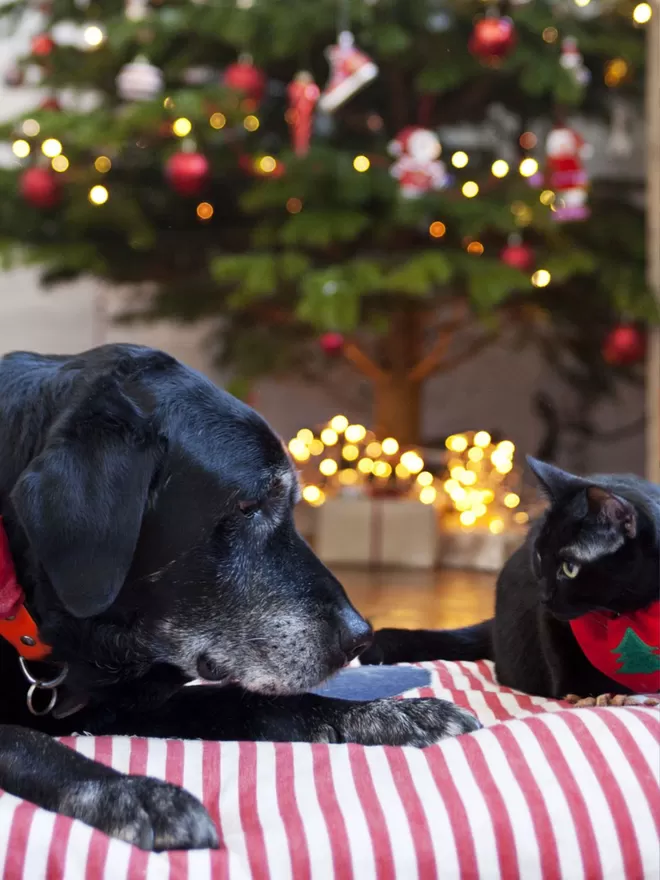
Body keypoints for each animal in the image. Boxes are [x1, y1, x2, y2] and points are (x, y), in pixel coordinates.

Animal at [0, 346, 476, 852]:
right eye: (248, 507)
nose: (360, 638)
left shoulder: (125, 705)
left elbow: (256, 702)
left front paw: (391, 713)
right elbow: (24, 741)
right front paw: (131, 792)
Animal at [360, 458, 660, 696]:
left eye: (569, 568)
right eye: (538, 555)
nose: (543, 596)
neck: (631, 614)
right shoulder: (555, 630)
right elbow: (581, 683)